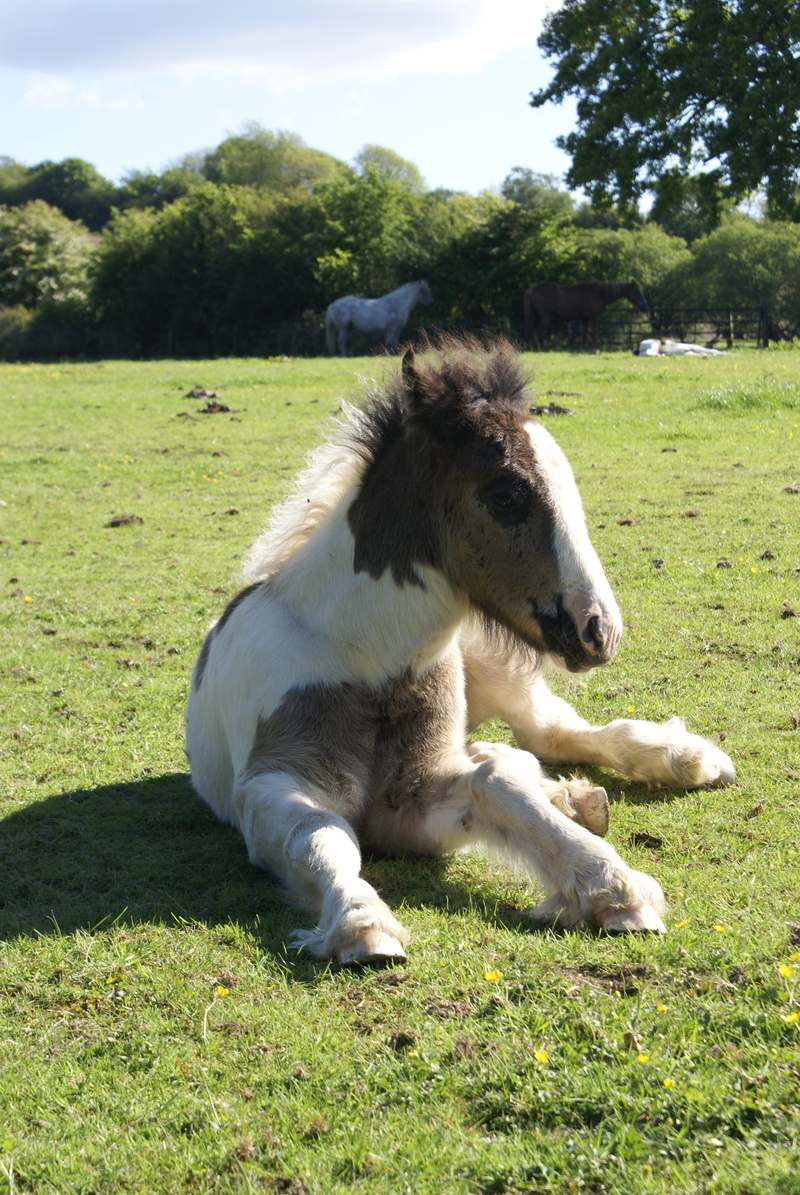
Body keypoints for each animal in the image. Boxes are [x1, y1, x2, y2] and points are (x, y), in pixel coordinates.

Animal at [186, 335, 734, 965]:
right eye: (505, 496)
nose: (599, 629)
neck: (364, 657)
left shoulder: (412, 803)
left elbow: (496, 785)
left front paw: (613, 885)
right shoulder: (275, 784)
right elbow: (321, 837)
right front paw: (361, 923)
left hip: (493, 667)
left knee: (547, 733)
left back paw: (683, 759)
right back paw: (572, 794)